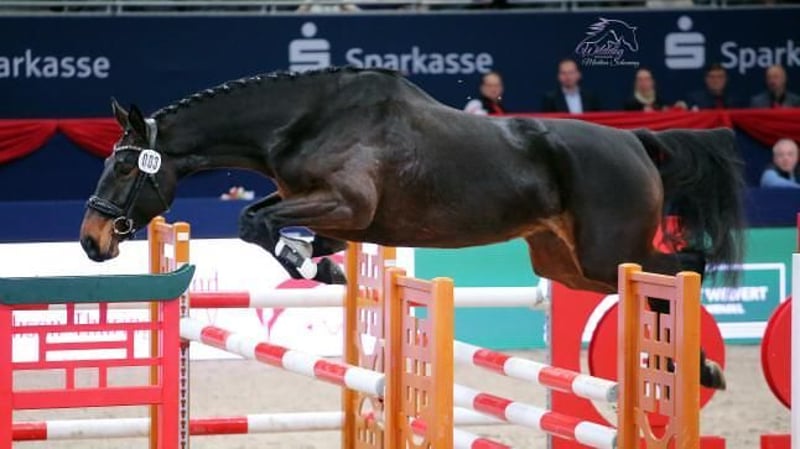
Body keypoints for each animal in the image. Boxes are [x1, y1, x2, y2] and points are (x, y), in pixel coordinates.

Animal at [79, 66, 745, 390]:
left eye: (122, 166)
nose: (91, 239)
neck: (305, 119)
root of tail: (636, 139)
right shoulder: (334, 211)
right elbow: (266, 222)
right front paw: (322, 264)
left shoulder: (346, 204)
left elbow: (253, 220)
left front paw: (311, 264)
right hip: (565, 263)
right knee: (661, 280)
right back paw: (691, 369)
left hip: (608, 254)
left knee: (681, 270)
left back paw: (702, 367)